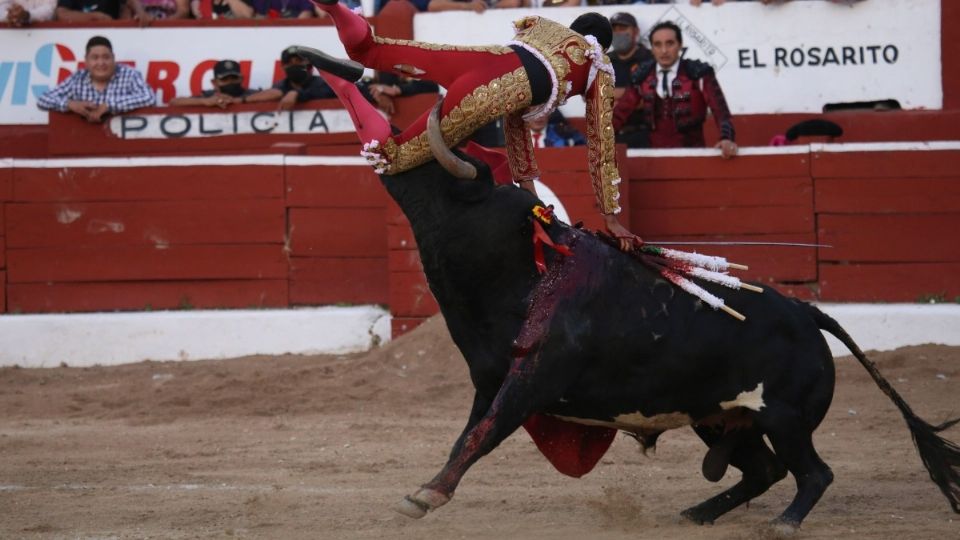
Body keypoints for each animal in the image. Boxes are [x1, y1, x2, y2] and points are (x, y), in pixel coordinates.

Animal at [378, 104, 956, 528]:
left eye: (439, 173)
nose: (387, 146)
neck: (526, 267)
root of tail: (808, 313)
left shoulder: (530, 381)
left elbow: (485, 433)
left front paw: (425, 495)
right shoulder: (493, 379)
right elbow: (470, 434)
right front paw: (426, 491)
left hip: (785, 417)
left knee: (813, 473)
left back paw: (782, 523)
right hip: (721, 419)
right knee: (764, 470)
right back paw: (698, 513)